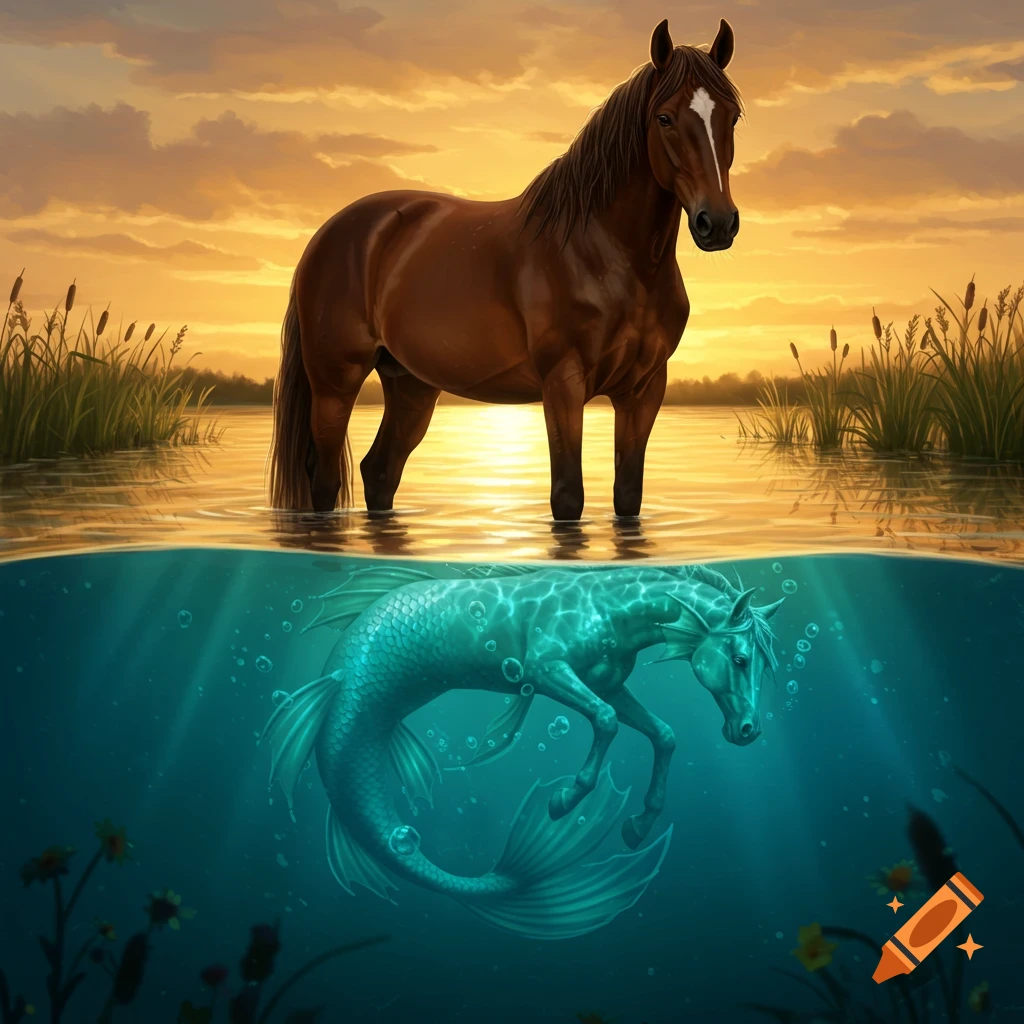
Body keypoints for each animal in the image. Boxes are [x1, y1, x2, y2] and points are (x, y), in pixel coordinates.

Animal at [269, 17, 743, 521]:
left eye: (732, 117)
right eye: (664, 118)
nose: (717, 223)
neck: (611, 256)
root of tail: (329, 233)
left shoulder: (645, 389)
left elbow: (627, 496)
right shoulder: (563, 383)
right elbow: (567, 497)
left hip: (410, 384)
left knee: (380, 471)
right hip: (335, 383)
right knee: (325, 481)